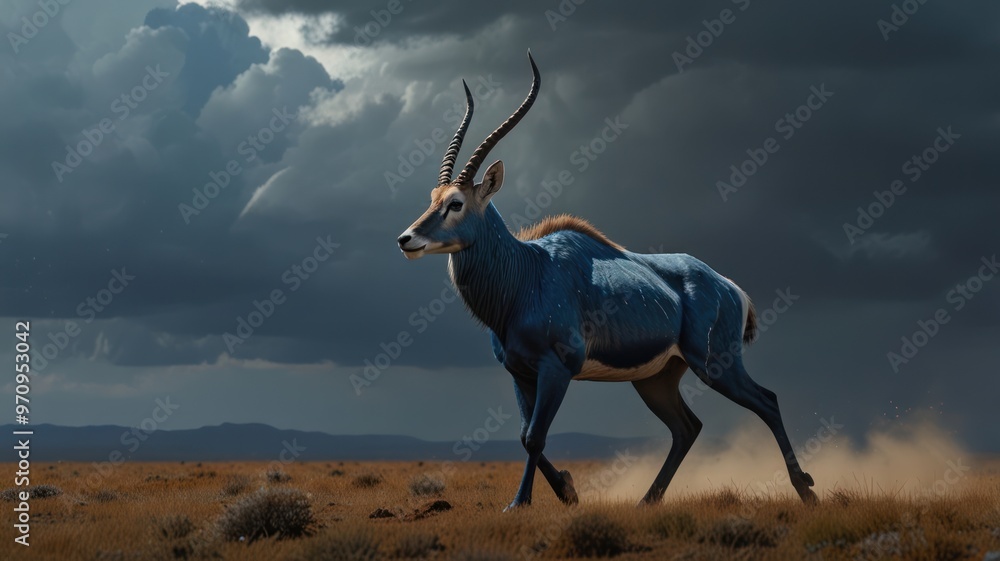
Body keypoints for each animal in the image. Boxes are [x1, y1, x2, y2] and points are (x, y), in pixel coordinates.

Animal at [397, 52, 818, 510]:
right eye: (432, 200)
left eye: (456, 203)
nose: (407, 239)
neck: (525, 274)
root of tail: (728, 286)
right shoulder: (520, 373)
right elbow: (525, 435)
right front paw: (567, 490)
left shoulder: (556, 370)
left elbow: (534, 437)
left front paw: (521, 502)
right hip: (656, 379)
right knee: (687, 427)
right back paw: (647, 501)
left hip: (716, 365)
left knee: (766, 402)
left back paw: (806, 490)